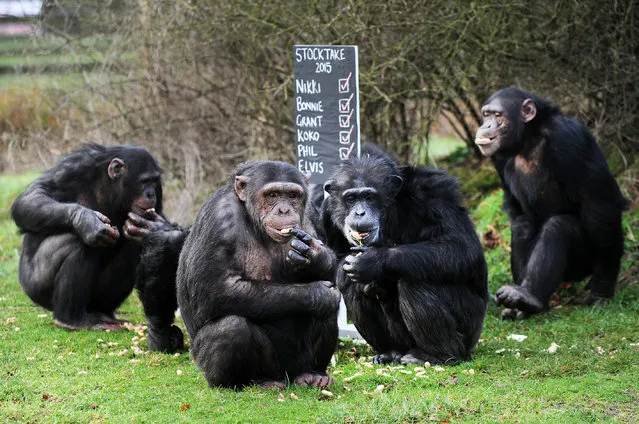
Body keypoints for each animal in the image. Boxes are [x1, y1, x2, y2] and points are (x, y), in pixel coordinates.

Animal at [178, 161, 342, 390]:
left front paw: (315, 256)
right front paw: (318, 294)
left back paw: (313, 374)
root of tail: (288, 377)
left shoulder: (312, 211)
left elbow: (330, 273)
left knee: (327, 312)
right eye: (272, 195)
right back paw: (254, 382)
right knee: (231, 327)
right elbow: (217, 289)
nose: (284, 209)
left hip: (299, 364)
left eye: (292, 195)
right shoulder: (218, 218)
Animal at [320, 146, 490, 364]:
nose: (359, 213)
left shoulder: (434, 192)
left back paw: (436, 355)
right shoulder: (325, 213)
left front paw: (373, 262)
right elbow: (335, 260)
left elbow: (462, 247)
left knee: (417, 280)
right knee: (351, 284)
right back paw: (390, 351)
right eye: (350, 198)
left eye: (370, 197)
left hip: (471, 327)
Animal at [476, 87, 632, 318]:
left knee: (560, 226)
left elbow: (598, 203)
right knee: (522, 225)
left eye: (498, 115)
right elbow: (516, 208)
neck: (528, 140)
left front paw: (602, 288)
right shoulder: (498, 158)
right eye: (486, 115)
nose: (485, 125)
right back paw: (521, 302)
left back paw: (529, 297)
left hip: (583, 263)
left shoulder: (568, 139)